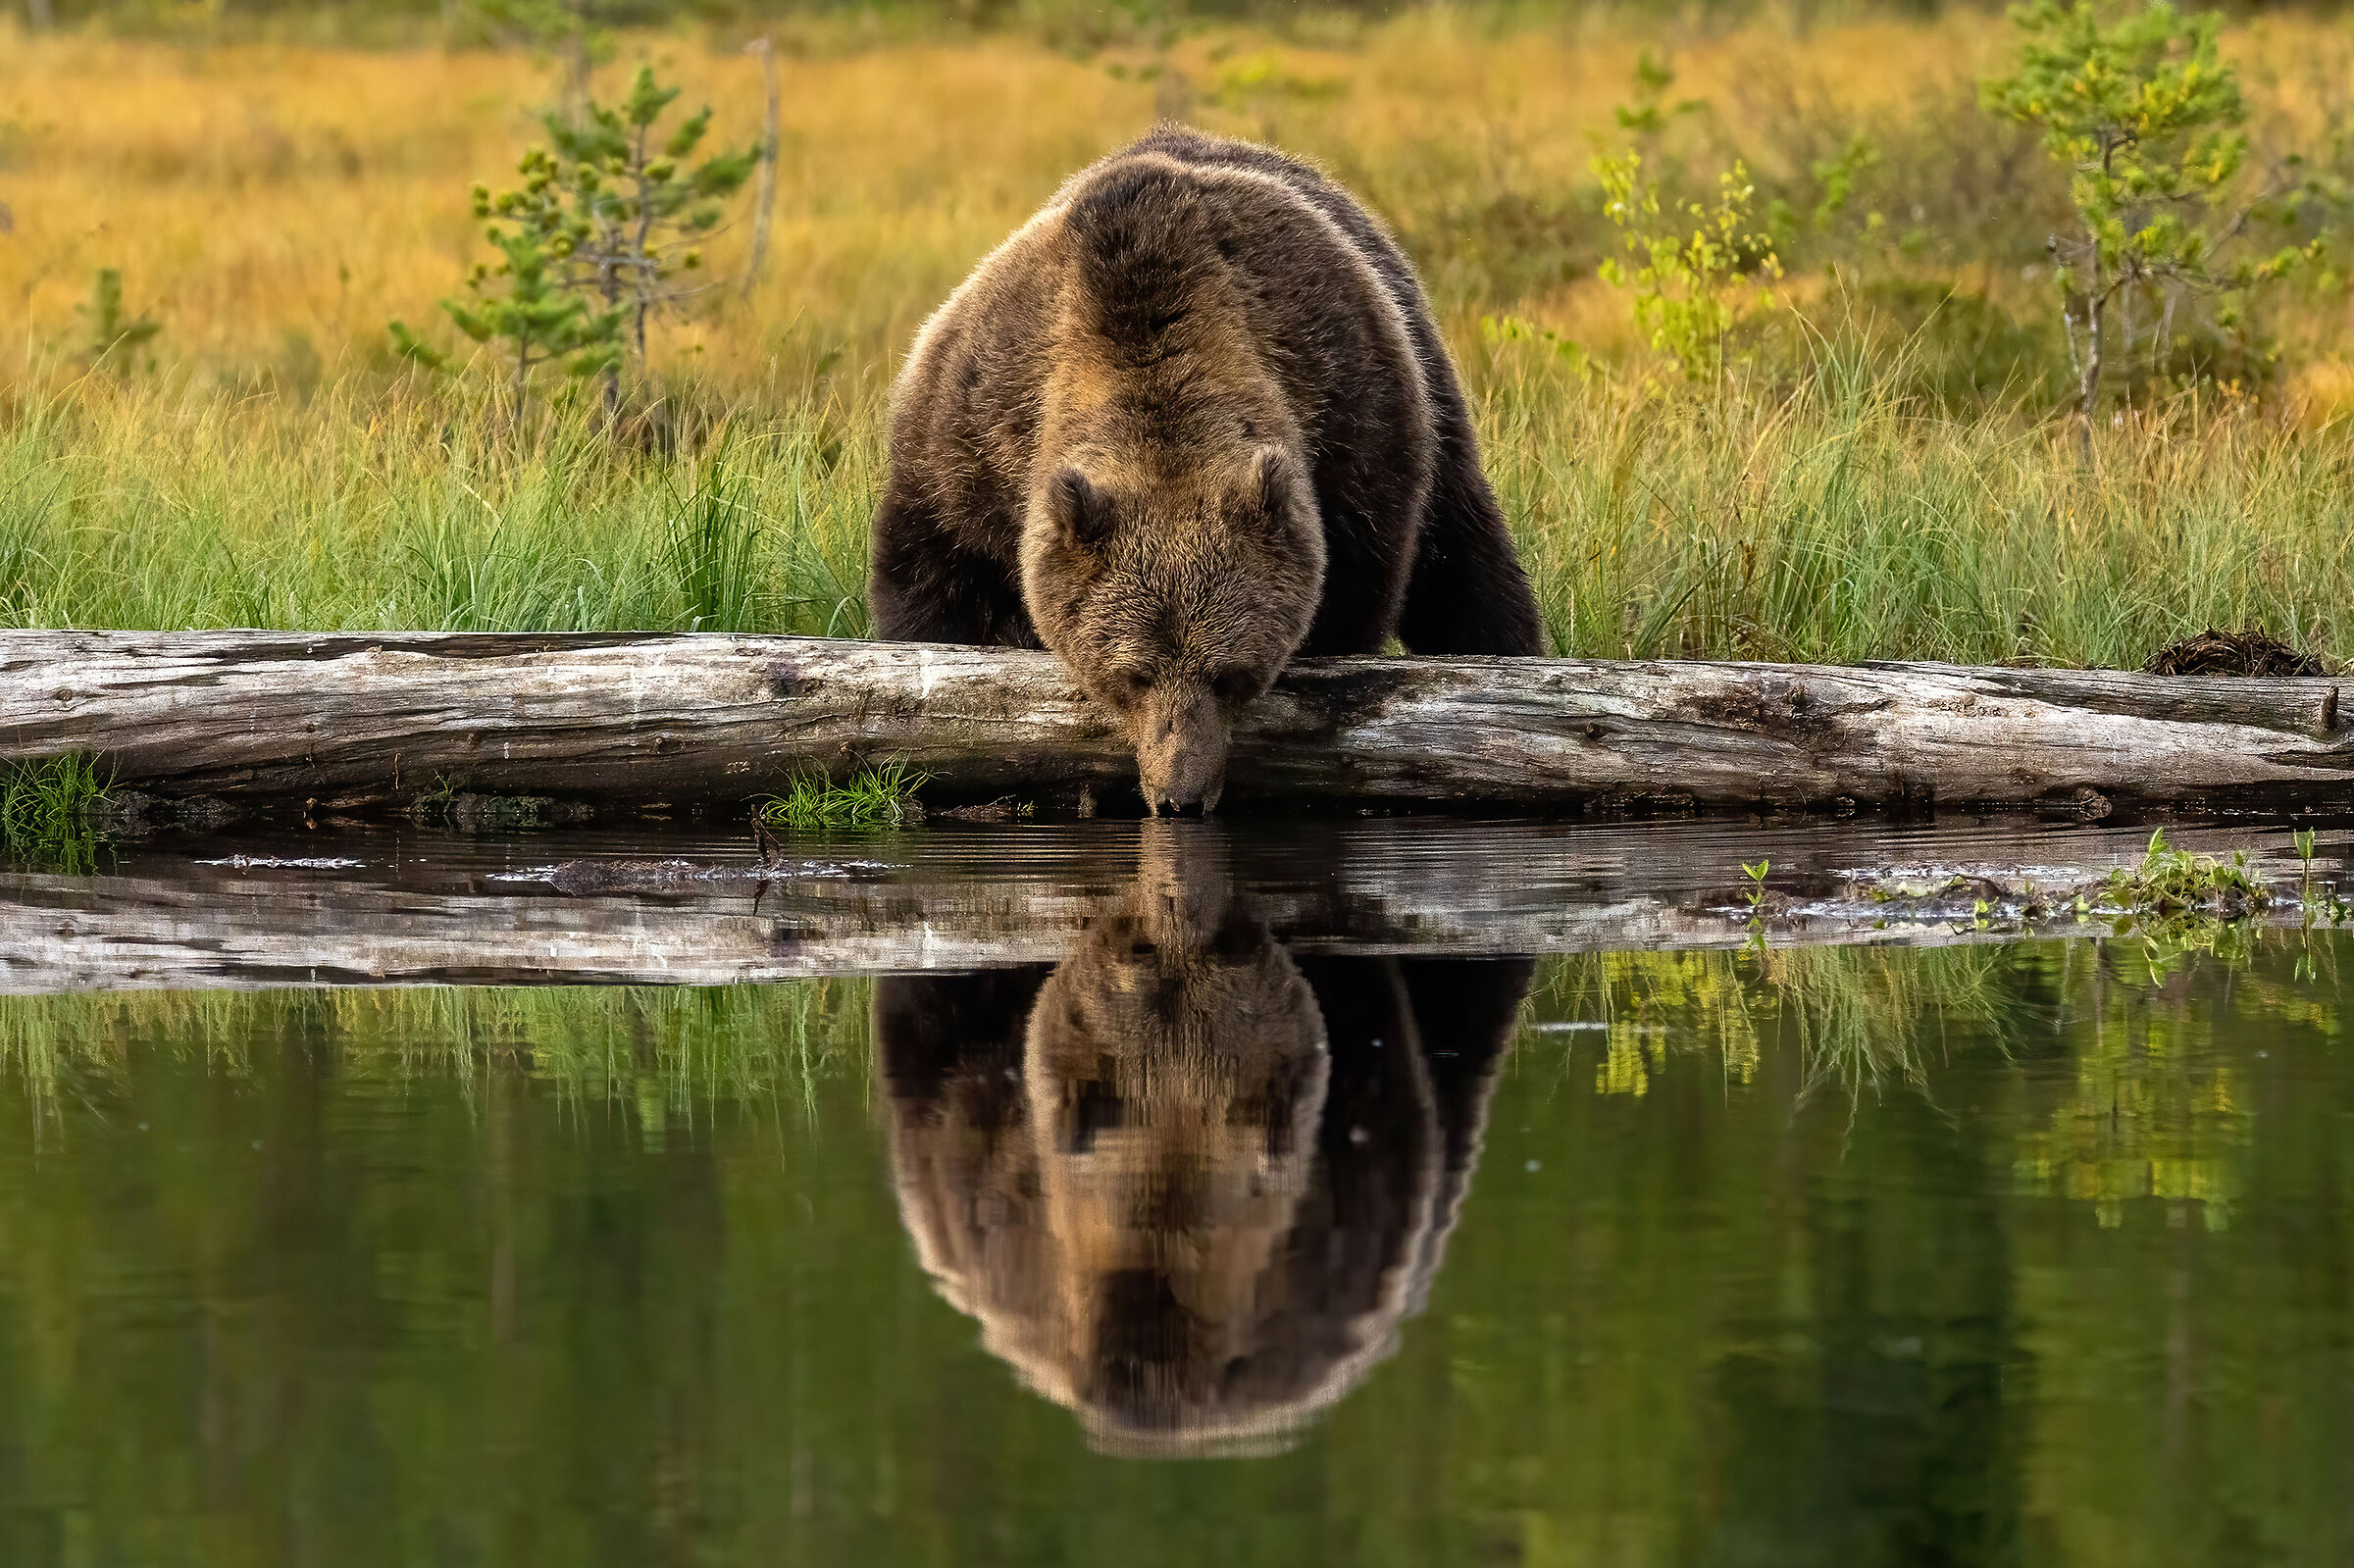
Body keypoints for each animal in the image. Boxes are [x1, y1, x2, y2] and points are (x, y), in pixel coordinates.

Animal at [868, 124, 1544, 814]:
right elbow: (931, 586)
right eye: (1134, 676)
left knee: (1467, 562)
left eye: (1228, 676)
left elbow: (1358, 595)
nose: (1180, 798)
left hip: (1431, 391)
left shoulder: (1354, 423)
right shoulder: (972, 430)